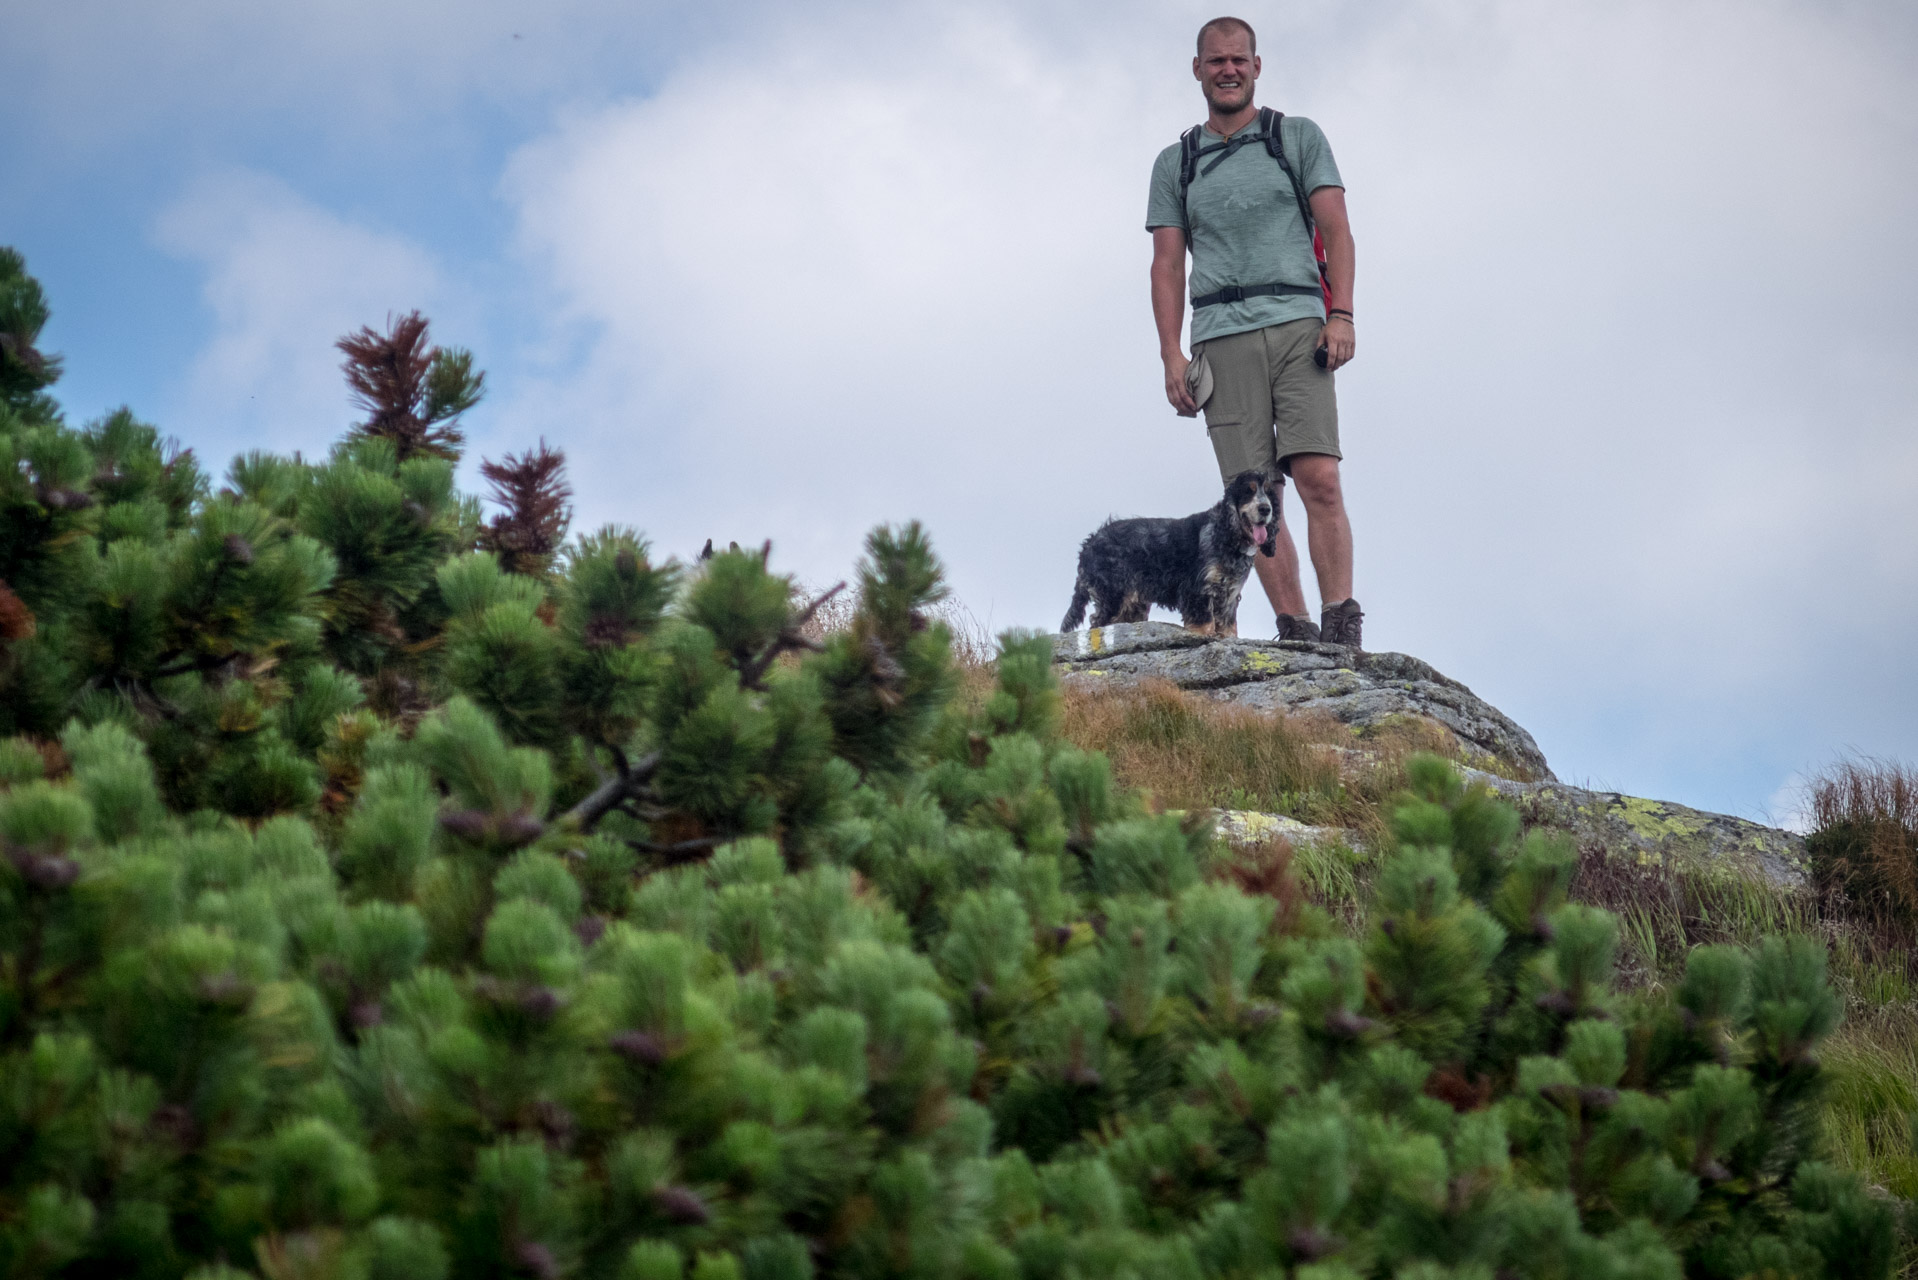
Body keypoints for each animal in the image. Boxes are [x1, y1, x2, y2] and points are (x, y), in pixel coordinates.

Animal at [1058, 468, 1281, 637]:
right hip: (1113, 595)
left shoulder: (1229, 596)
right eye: (1248, 491)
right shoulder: (1198, 590)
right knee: (1097, 623)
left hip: (1132, 605)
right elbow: (1204, 624)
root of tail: (1090, 542)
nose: (1265, 509)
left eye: (1269, 493)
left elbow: (1228, 628)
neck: (1226, 536)